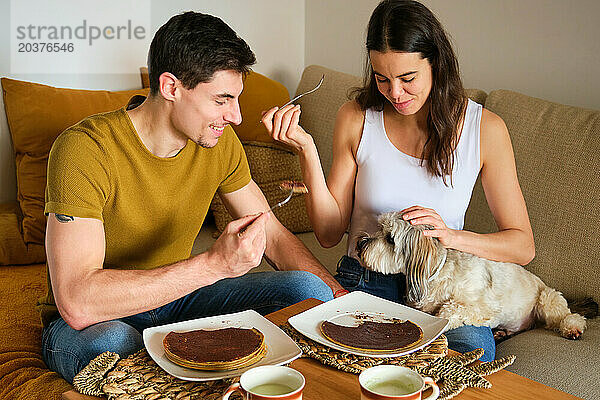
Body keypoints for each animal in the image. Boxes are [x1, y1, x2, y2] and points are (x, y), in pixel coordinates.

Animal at [356, 211, 584, 340]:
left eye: (390, 239)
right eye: (379, 228)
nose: (360, 244)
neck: (437, 274)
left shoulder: (482, 308)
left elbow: (449, 310)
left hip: (548, 299)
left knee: (568, 317)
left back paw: (572, 328)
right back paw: (503, 333)